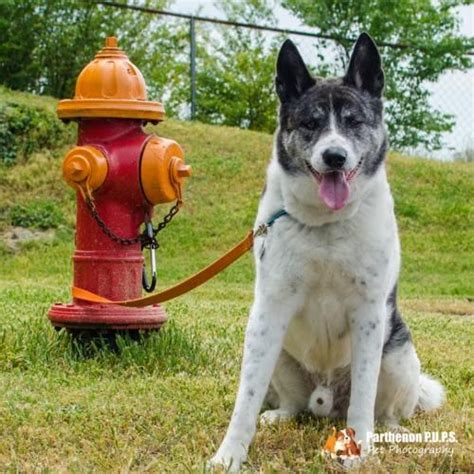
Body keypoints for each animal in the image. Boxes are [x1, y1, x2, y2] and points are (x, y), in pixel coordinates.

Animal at [209, 33, 442, 470]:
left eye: (353, 121)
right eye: (311, 123)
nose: (335, 156)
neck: (325, 225)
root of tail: (327, 397)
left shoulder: (369, 315)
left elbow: (364, 397)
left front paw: (360, 449)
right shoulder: (268, 311)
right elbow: (245, 398)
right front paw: (229, 454)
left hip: (398, 355)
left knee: (387, 408)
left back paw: (389, 430)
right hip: (279, 352)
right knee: (292, 402)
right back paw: (281, 414)